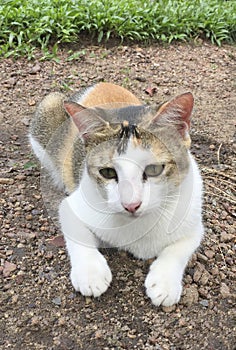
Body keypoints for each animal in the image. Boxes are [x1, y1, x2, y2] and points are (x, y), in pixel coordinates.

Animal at [29, 82, 203, 306]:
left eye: (154, 169)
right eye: (108, 173)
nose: (131, 204)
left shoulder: (193, 219)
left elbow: (179, 248)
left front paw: (164, 283)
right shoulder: (72, 205)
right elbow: (76, 231)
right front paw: (91, 273)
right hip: (47, 115)